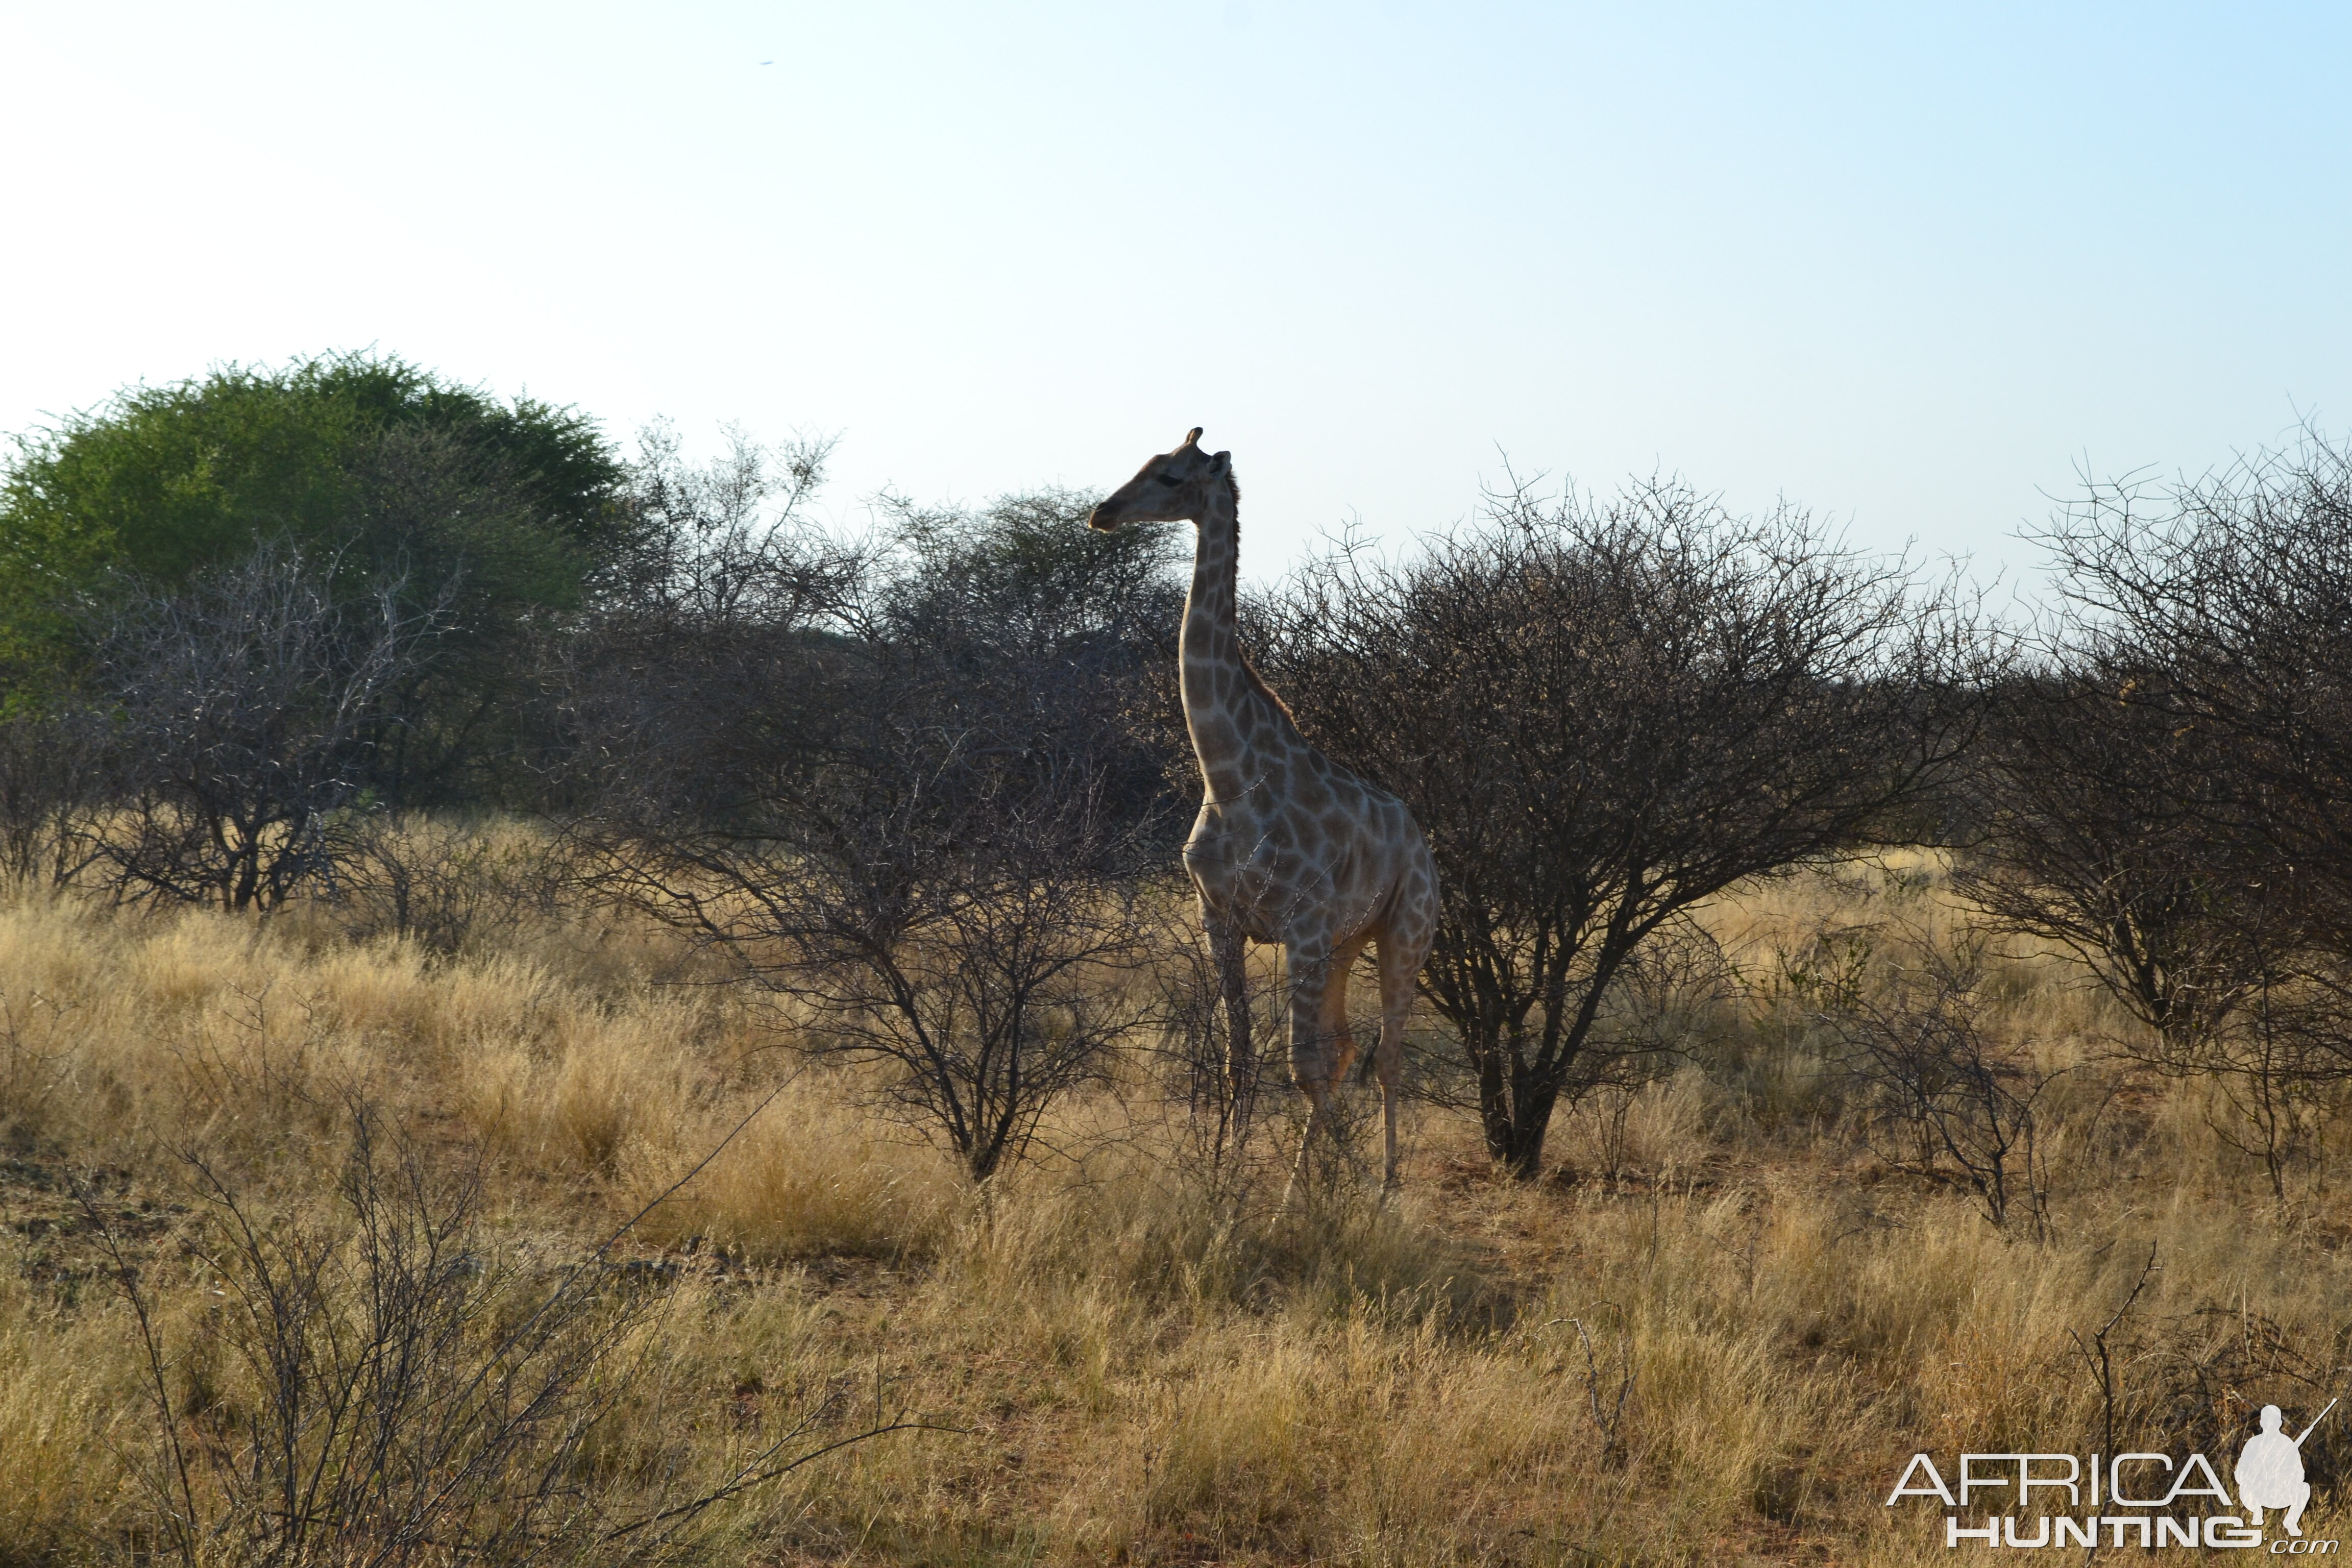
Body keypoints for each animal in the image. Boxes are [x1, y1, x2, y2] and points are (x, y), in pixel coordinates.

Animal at [1086, 430, 1449, 1189]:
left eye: (1171, 476)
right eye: (1142, 463)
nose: (1103, 512)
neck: (1228, 777)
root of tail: (1423, 842)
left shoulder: (1300, 925)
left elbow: (1301, 1065)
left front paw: (1320, 1190)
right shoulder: (1219, 920)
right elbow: (1241, 1058)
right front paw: (1226, 1182)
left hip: (1406, 931)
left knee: (1386, 1057)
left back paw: (1385, 1186)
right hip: (1347, 942)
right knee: (1348, 1048)